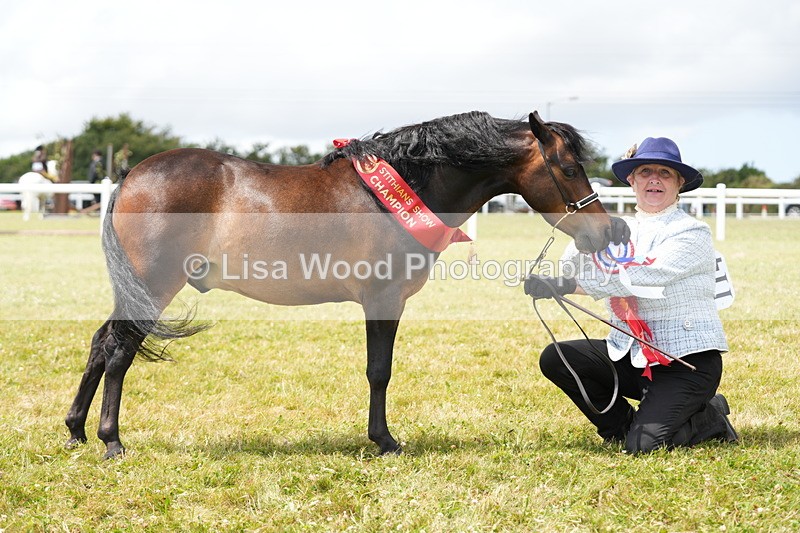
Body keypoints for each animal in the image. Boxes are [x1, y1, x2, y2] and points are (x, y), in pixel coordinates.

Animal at [65, 110, 626, 459]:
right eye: (570, 168)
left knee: (101, 344)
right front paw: (385, 441)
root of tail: (132, 175)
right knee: (120, 351)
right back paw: (111, 440)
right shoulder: (383, 298)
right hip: (155, 286)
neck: (399, 189)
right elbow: (380, 371)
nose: (608, 231)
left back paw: (75, 432)